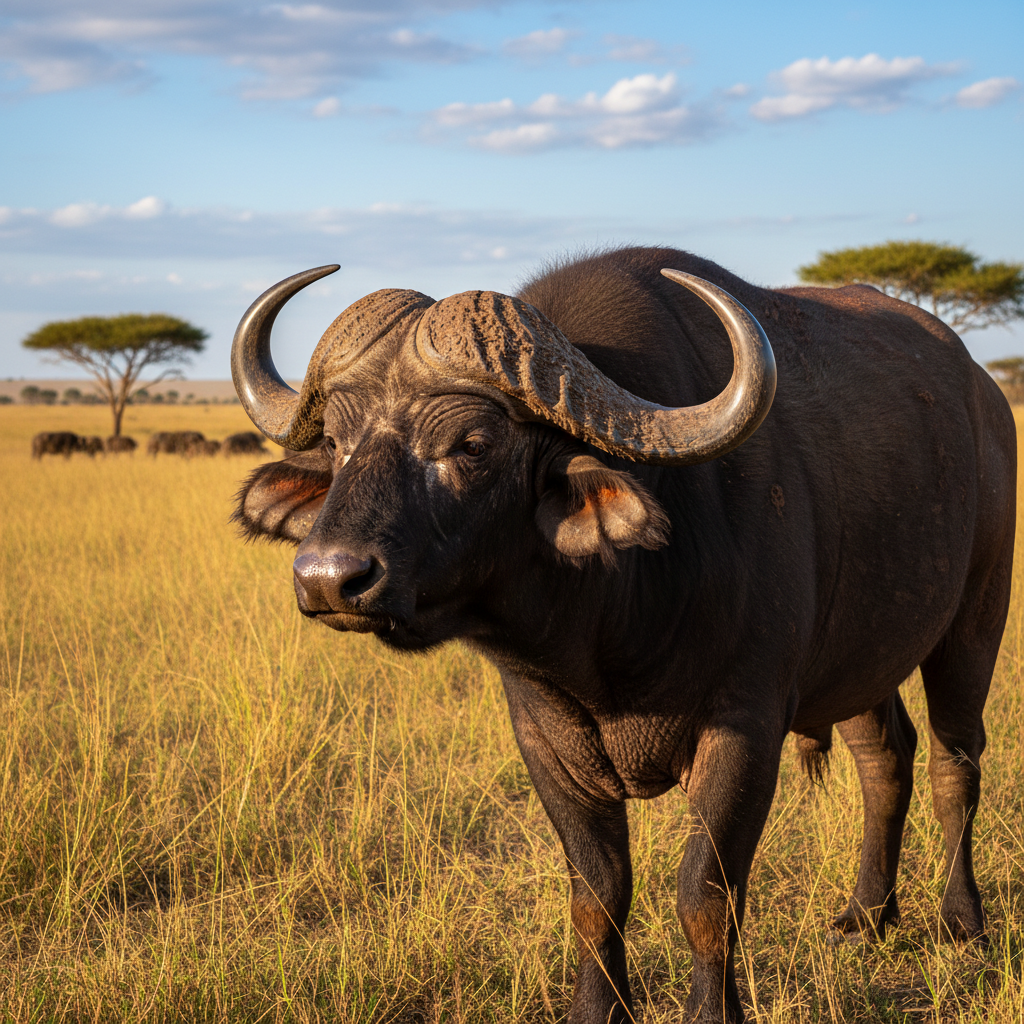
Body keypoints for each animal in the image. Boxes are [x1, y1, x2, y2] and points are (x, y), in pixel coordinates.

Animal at [229, 248, 1014, 1023]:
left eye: (472, 443)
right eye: (337, 442)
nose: (329, 577)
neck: (611, 626)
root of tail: (983, 394)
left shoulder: (746, 730)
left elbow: (705, 896)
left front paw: (711, 1012)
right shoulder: (546, 739)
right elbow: (597, 896)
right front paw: (595, 1009)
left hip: (975, 621)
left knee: (954, 764)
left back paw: (961, 923)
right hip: (860, 663)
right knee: (885, 759)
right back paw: (866, 915)